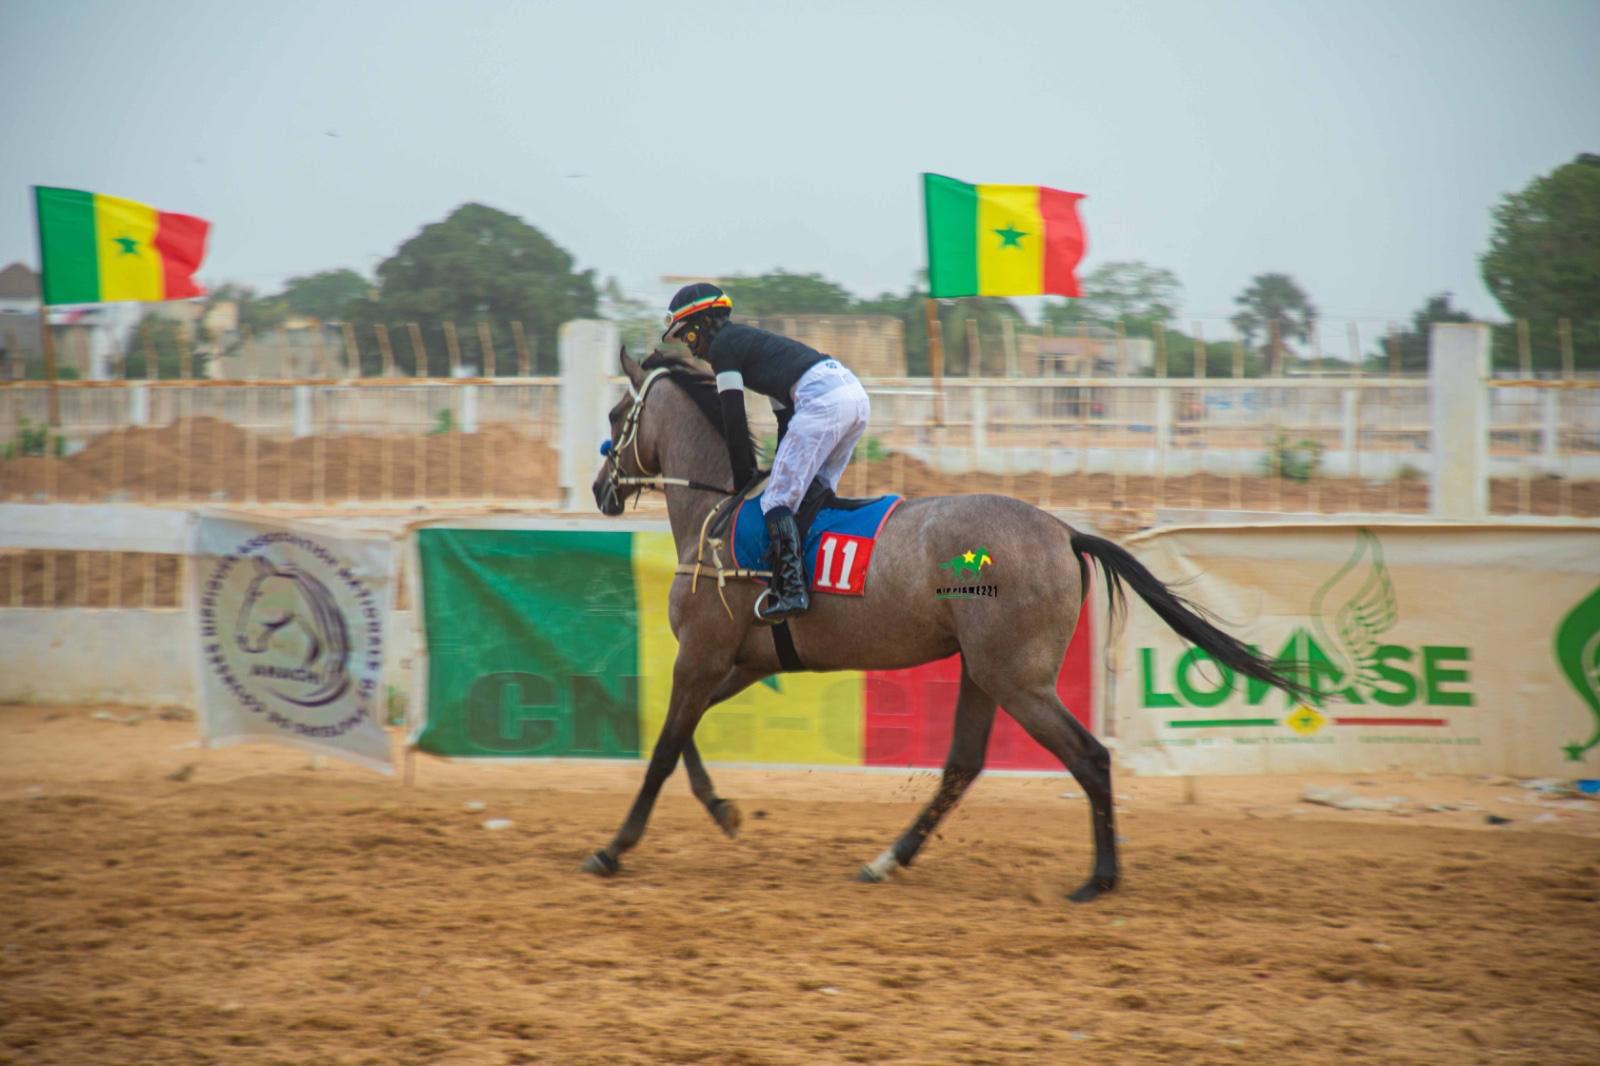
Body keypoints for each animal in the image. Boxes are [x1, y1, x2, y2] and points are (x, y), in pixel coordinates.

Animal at [587, 349, 1312, 902]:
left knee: (1089, 756)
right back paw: (887, 860)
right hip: (981, 671)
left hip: (1015, 677)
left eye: (617, 415)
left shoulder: (702, 653)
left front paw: (613, 848)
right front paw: (723, 810)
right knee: (963, 765)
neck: (719, 515)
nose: (600, 488)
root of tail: (1067, 532)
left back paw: (1098, 879)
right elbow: (685, 735)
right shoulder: (743, 660)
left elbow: (663, 749)